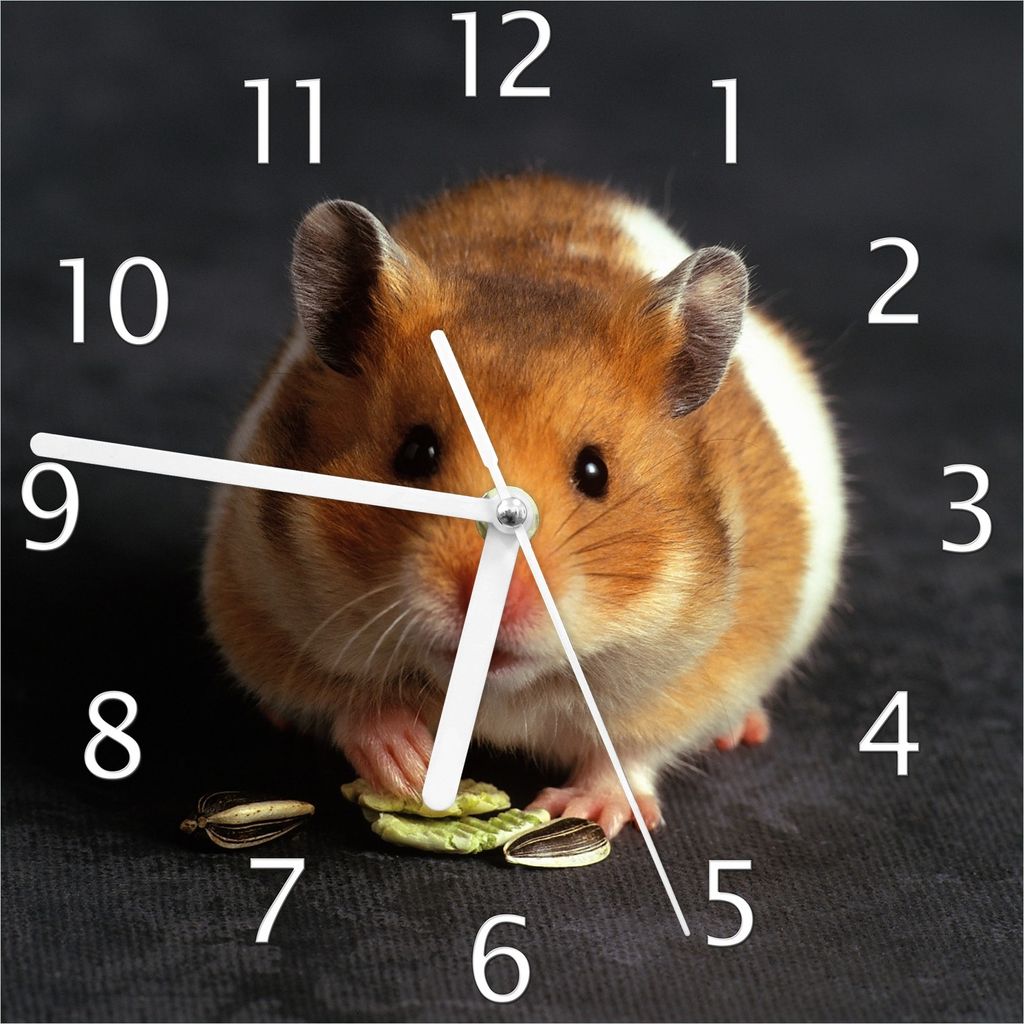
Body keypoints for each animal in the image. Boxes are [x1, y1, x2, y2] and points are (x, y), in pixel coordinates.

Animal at [202, 173, 845, 837]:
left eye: (594, 472)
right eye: (414, 451)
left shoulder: (697, 672)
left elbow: (629, 752)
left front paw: (581, 811)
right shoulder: (258, 601)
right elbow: (347, 700)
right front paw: (408, 765)